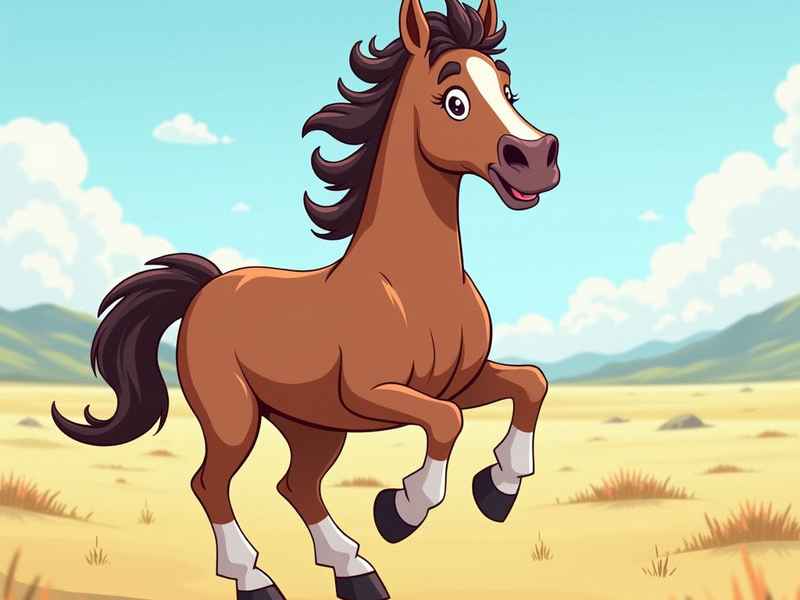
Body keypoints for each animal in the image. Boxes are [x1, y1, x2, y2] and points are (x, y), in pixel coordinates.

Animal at [51, 1, 560, 598]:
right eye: (455, 99)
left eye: (509, 91)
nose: (535, 157)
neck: (412, 285)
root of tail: (207, 288)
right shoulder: (374, 392)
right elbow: (445, 423)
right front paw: (401, 510)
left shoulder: (462, 379)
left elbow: (530, 384)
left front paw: (497, 487)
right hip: (234, 417)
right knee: (210, 483)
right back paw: (255, 577)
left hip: (313, 425)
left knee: (296, 485)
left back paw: (355, 570)